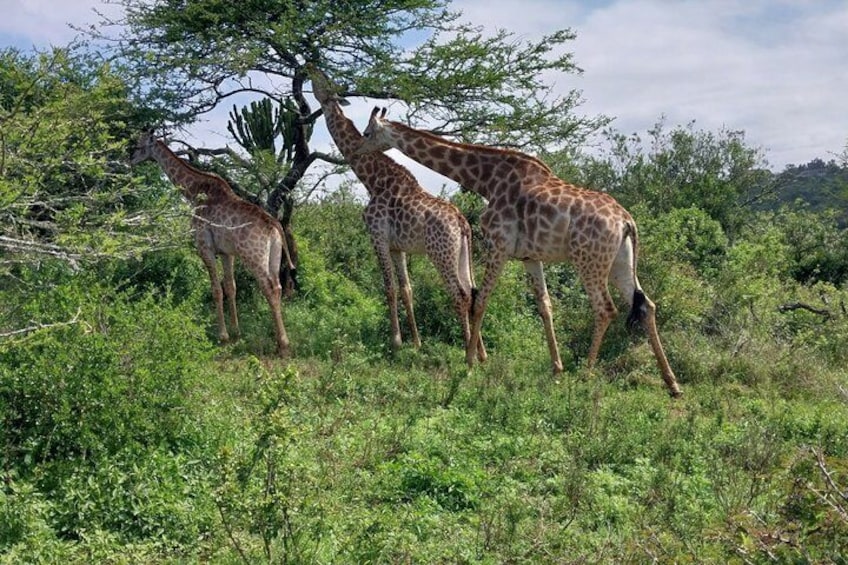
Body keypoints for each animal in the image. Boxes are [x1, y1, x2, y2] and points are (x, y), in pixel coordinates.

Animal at [130, 131, 293, 356]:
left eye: (139, 146)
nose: (128, 160)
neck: (193, 192)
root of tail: (274, 225)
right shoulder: (226, 252)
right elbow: (231, 287)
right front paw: (236, 332)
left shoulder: (204, 247)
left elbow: (216, 289)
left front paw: (223, 337)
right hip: (274, 255)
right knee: (277, 286)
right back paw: (281, 341)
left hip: (253, 256)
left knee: (268, 287)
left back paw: (283, 345)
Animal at [307, 65, 485, 359]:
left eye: (323, 81)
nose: (308, 66)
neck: (372, 179)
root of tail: (462, 222)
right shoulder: (397, 246)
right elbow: (406, 289)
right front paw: (416, 342)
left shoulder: (376, 235)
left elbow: (388, 288)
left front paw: (396, 342)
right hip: (462, 255)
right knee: (472, 292)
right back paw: (482, 354)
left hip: (441, 253)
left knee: (459, 294)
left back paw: (468, 357)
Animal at [354, 107, 682, 397]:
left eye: (367, 132)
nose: (358, 150)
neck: (486, 181)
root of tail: (626, 221)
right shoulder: (529, 257)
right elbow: (544, 306)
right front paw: (556, 368)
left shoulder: (497, 245)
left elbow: (479, 300)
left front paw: (470, 363)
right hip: (620, 263)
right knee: (647, 305)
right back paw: (672, 383)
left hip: (589, 261)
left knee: (605, 309)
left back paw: (586, 376)